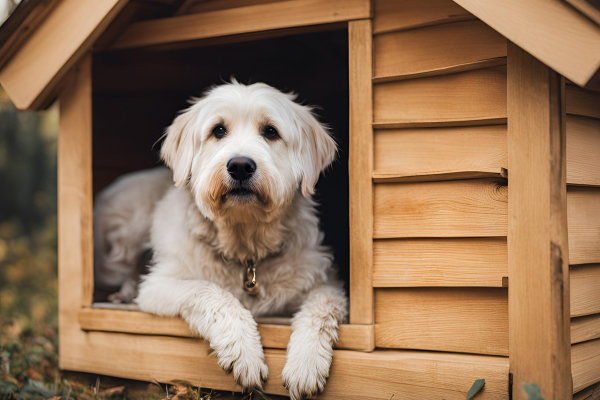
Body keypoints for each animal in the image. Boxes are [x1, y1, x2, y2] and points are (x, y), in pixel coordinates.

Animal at [94, 80, 346, 396]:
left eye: (271, 131)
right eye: (218, 130)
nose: (240, 166)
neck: (244, 243)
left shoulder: (326, 282)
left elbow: (320, 311)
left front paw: (306, 363)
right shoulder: (160, 285)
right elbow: (211, 292)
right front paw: (245, 354)